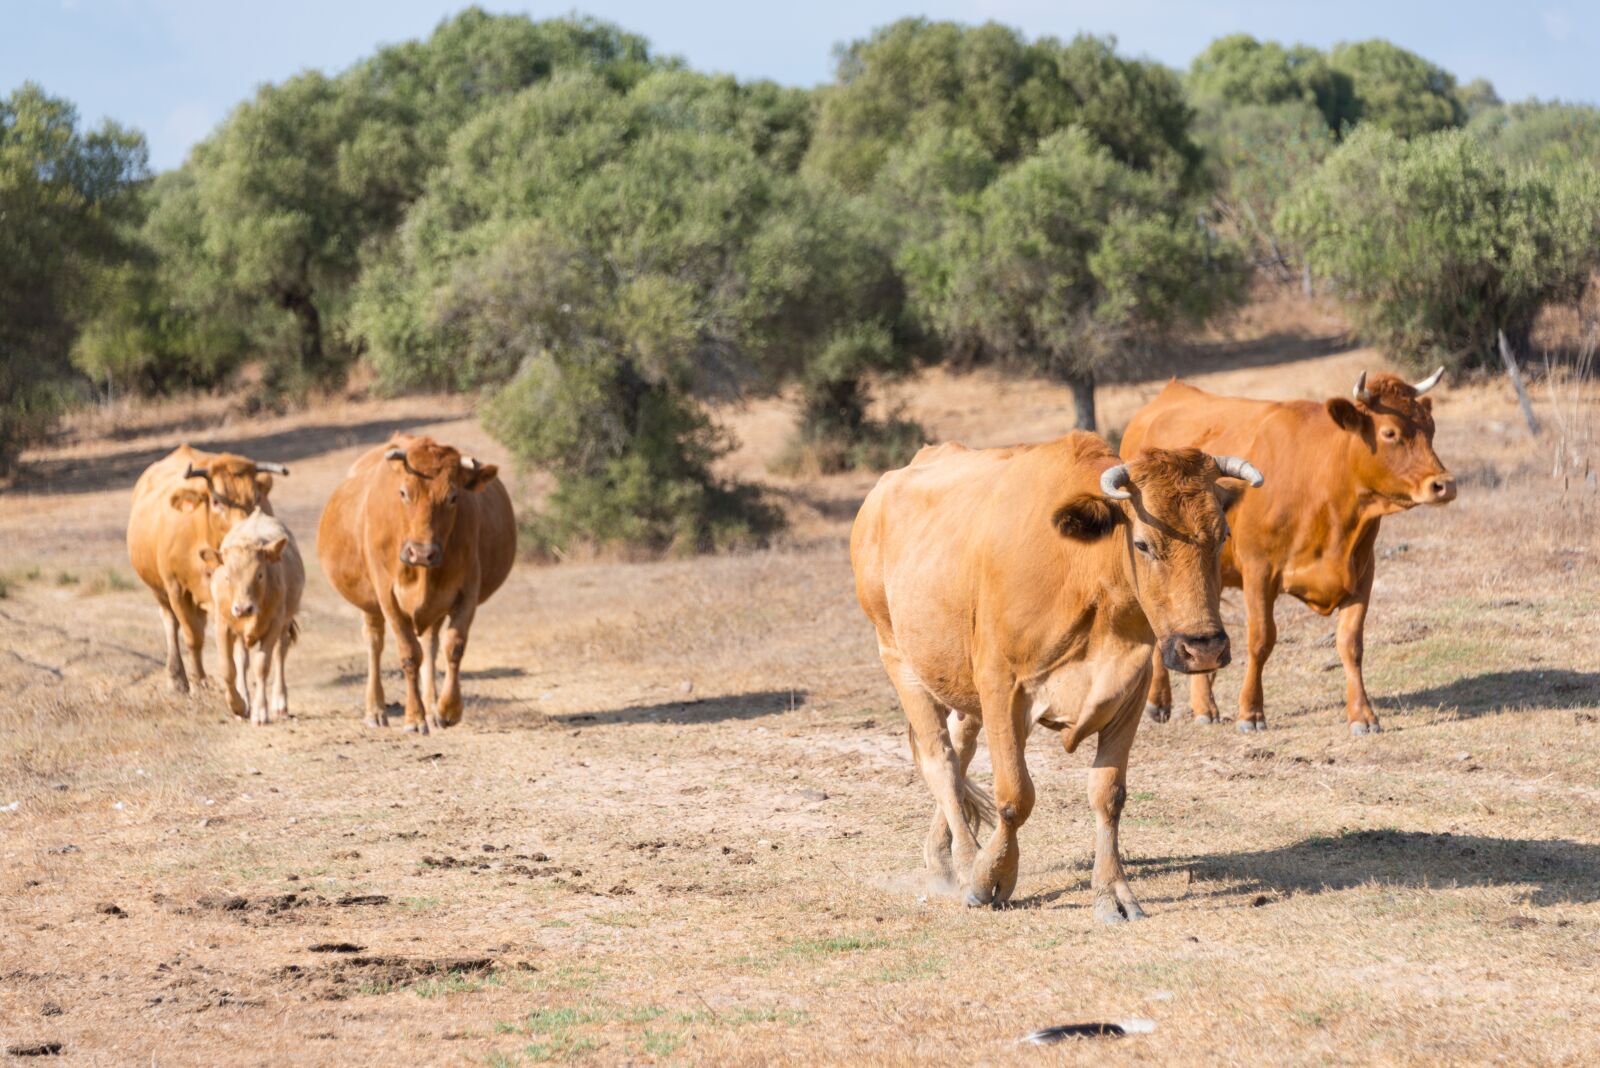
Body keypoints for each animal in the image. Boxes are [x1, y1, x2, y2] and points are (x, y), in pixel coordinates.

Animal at [127, 446, 290, 693]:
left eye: (256, 499)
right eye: (216, 501)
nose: (245, 532)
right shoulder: (176, 588)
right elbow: (192, 636)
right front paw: (198, 681)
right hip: (159, 590)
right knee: (171, 622)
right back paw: (176, 676)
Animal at [199, 509, 305, 725]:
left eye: (260, 574)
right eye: (227, 576)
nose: (243, 609)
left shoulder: (275, 623)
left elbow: (262, 666)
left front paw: (260, 712)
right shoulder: (222, 624)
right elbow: (228, 668)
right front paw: (238, 705)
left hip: (285, 622)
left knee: (280, 652)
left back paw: (280, 703)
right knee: (241, 660)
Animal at [317, 434, 515, 734]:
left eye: (453, 497)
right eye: (403, 493)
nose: (422, 553)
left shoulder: (467, 593)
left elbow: (453, 647)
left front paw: (447, 709)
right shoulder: (387, 597)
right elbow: (410, 654)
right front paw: (414, 717)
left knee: (431, 645)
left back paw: (432, 707)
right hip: (369, 603)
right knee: (374, 643)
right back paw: (376, 709)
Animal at [851, 432, 1262, 922]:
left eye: (1223, 536)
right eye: (1143, 544)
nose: (1204, 647)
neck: (1086, 578)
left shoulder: (1130, 691)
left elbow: (1108, 793)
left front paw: (1113, 892)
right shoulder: (1002, 688)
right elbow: (1015, 796)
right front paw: (990, 877)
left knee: (960, 747)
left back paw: (941, 857)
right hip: (897, 656)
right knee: (942, 761)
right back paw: (967, 863)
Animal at [1121, 369, 1455, 735]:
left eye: (1431, 428)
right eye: (1390, 432)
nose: (1444, 485)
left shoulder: (1362, 572)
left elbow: (1351, 643)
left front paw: (1362, 715)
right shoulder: (1258, 571)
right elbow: (1261, 640)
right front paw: (1251, 712)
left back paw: (1204, 706)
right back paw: (1159, 702)